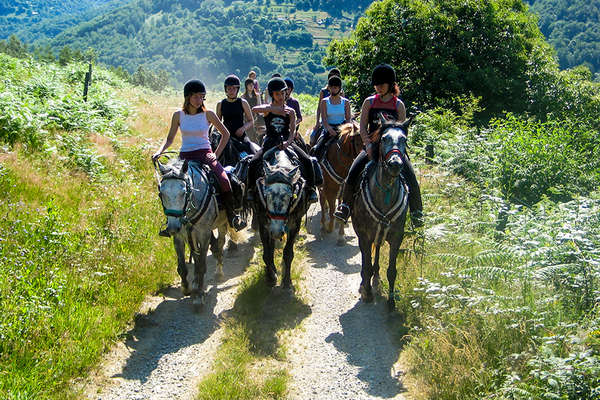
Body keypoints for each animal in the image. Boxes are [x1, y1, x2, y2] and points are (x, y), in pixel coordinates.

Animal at [156, 158, 243, 308]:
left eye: (183, 193)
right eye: (161, 194)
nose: (172, 227)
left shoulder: (204, 235)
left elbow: (201, 265)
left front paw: (199, 296)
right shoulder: (180, 236)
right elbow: (183, 266)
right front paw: (186, 288)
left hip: (222, 224)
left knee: (220, 245)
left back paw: (218, 273)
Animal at [252, 146, 310, 288]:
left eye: (289, 196)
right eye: (266, 194)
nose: (277, 231)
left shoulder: (295, 224)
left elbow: (288, 254)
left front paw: (287, 281)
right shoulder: (263, 223)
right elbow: (267, 254)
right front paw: (271, 276)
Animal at [352, 115, 412, 310]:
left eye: (404, 140)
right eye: (384, 138)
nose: (395, 164)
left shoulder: (396, 236)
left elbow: (392, 270)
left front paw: (391, 303)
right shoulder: (364, 236)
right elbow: (366, 265)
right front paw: (367, 293)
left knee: (377, 251)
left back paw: (376, 278)